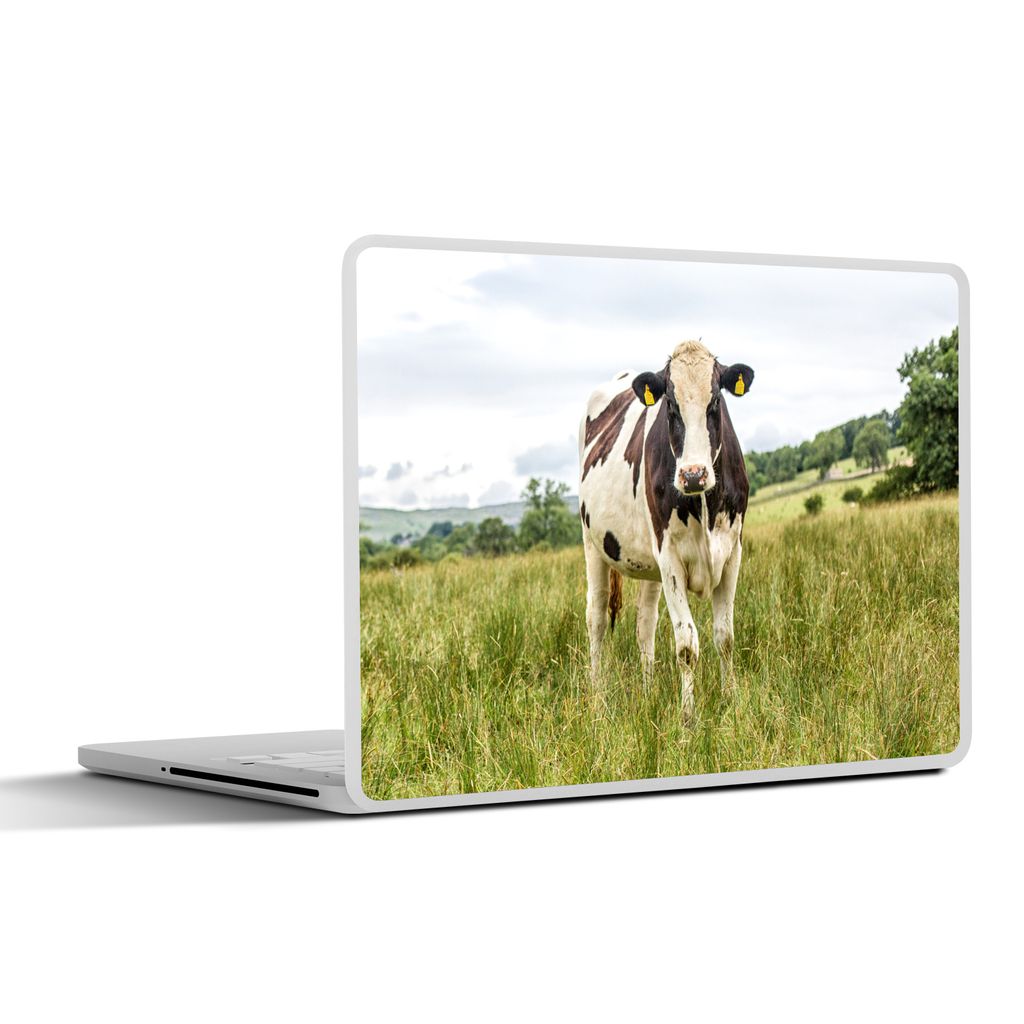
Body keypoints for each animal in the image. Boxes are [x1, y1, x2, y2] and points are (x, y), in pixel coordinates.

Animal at [577, 339, 754, 720]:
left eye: (715, 401)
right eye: (670, 406)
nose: (693, 475)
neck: (704, 501)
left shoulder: (733, 551)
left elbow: (725, 636)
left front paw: (731, 700)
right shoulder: (670, 556)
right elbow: (687, 644)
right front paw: (688, 717)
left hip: (650, 565)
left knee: (645, 623)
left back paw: (646, 691)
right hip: (592, 544)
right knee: (596, 618)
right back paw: (597, 697)